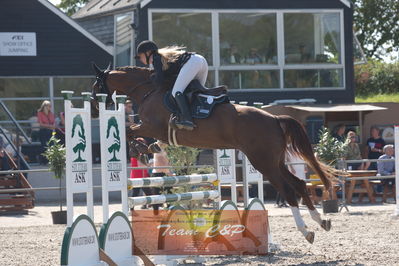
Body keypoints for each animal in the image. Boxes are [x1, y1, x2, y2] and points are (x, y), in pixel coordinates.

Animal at [93, 64, 338, 243]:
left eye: (96, 84)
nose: (95, 110)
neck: (148, 90)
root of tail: (275, 119)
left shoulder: (151, 126)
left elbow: (128, 131)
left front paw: (140, 149)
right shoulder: (157, 131)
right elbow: (136, 134)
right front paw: (147, 149)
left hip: (263, 162)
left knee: (288, 190)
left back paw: (306, 231)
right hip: (275, 162)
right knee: (299, 184)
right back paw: (321, 221)